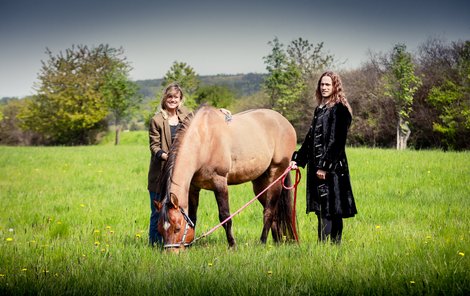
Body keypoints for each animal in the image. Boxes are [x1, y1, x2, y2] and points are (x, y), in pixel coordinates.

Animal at [155, 105, 298, 251]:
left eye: (177, 228)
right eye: (160, 229)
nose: (171, 253)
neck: (204, 139)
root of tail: (284, 122)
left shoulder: (219, 182)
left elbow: (225, 216)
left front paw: (232, 245)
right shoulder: (194, 188)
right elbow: (192, 218)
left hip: (277, 174)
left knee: (269, 211)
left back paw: (263, 242)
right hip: (261, 183)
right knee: (273, 211)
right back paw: (277, 242)